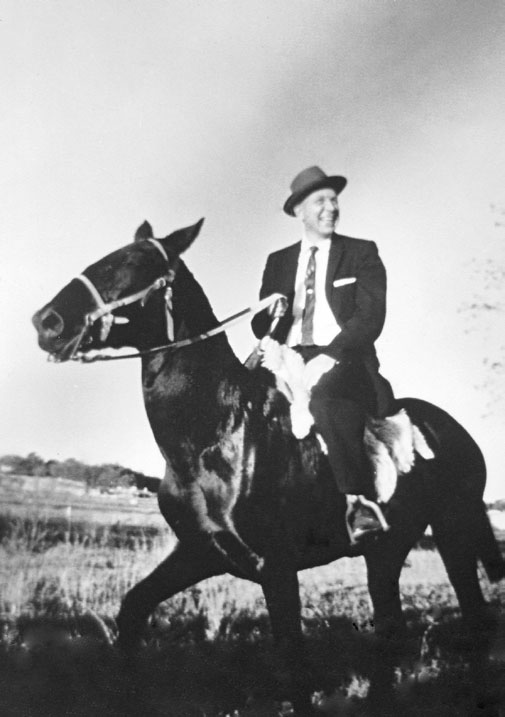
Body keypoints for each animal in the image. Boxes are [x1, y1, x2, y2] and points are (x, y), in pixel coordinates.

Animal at [33, 221, 502, 712]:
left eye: (132, 262)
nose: (47, 322)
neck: (218, 430)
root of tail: (453, 429)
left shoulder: (276, 567)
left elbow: (293, 663)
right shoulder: (201, 552)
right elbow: (134, 608)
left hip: (454, 530)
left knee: (474, 618)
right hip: (386, 550)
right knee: (392, 627)